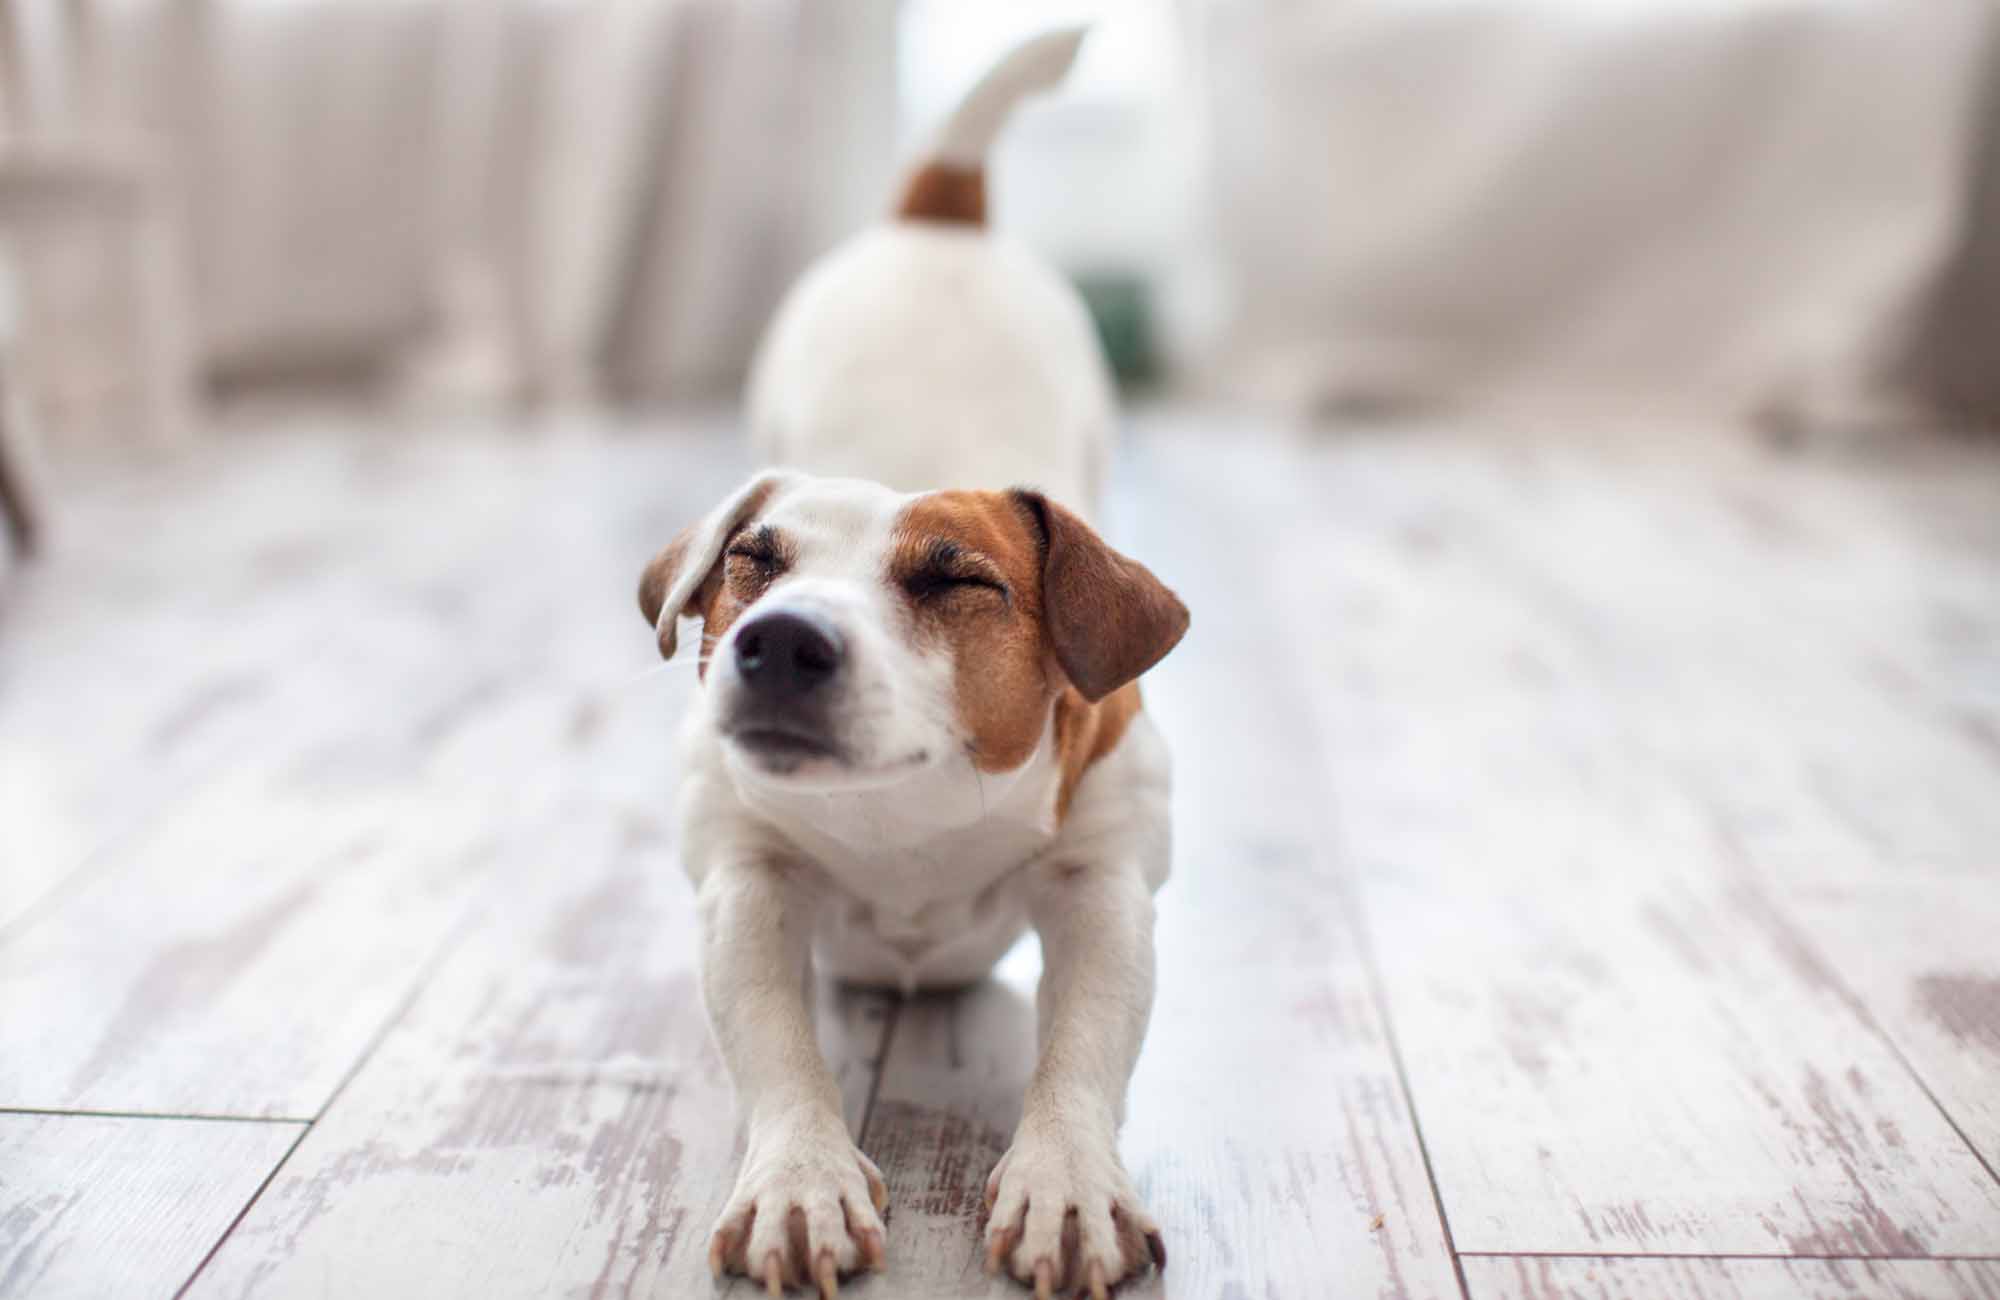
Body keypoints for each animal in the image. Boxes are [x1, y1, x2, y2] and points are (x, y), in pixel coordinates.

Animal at [636, 27, 1184, 1296]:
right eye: (751, 560)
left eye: (957, 581)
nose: (777, 638)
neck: (908, 818)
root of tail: (940, 214)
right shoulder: (745, 879)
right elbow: (776, 1045)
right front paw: (799, 1177)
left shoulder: (1102, 883)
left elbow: (1083, 1044)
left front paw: (1066, 1179)